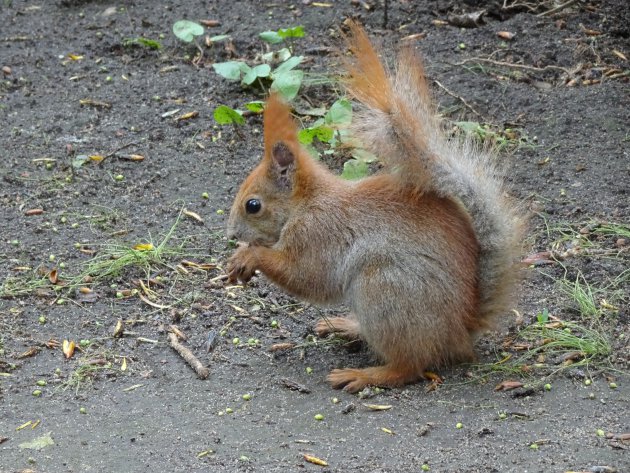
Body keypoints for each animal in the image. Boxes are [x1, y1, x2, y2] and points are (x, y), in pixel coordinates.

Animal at [227, 22, 528, 390]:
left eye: (253, 205)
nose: (231, 234)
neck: (307, 204)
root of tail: (461, 329)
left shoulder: (318, 234)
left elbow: (307, 276)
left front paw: (249, 256)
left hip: (383, 291)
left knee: (408, 367)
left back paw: (364, 374)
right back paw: (348, 327)